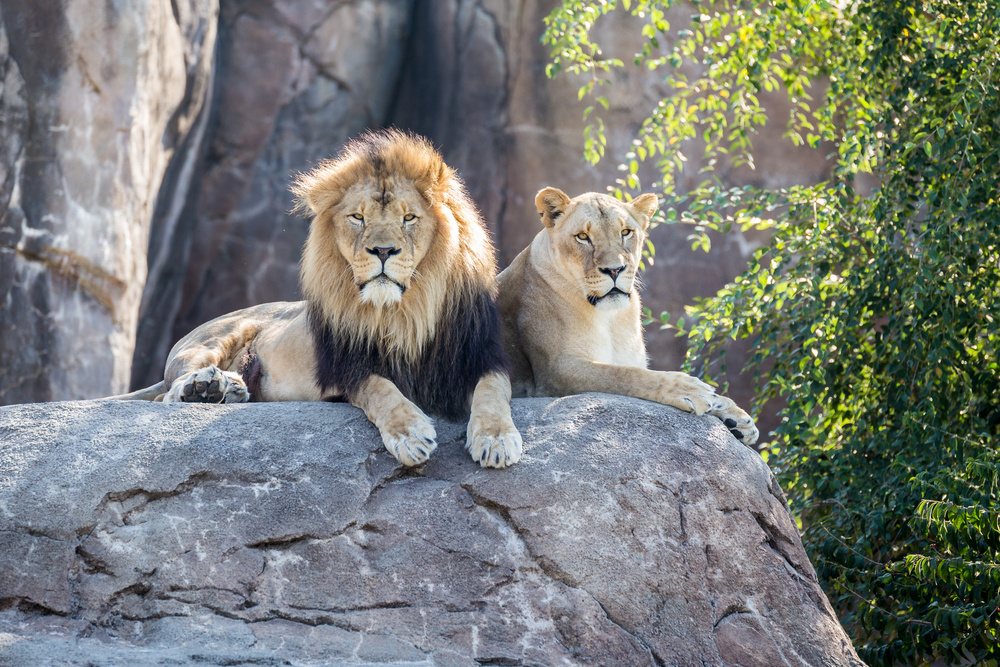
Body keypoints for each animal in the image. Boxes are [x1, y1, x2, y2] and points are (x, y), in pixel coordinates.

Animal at [121, 128, 520, 468]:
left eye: (409, 217)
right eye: (358, 217)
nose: (383, 250)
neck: (402, 311)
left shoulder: (481, 355)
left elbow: (495, 390)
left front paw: (497, 439)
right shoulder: (348, 369)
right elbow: (382, 390)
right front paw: (410, 434)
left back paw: (227, 390)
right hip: (208, 341)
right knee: (167, 393)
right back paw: (205, 388)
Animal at [496, 188, 760, 446]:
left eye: (625, 232)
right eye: (582, 237)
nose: (614, 270)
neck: (611, 318)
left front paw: (734, 414)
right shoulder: (554, 372)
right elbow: (624, 375)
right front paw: (689, 388)